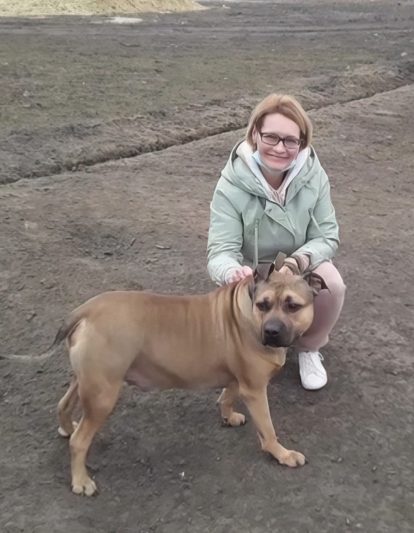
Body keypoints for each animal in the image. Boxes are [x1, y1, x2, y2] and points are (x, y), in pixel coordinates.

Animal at [2, 264, 325, 495]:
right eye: (263, 304)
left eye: (292, 306)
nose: (271, 331)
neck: (244, 312)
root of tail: (85, 310)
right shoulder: (256, 390)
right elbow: (268, 430)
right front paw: (282, 454)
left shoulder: (238, 380)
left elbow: (227, 395)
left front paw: (228, 416)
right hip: (103, 394)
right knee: (80, 441)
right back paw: (81, 481)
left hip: (86, 381)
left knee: (64, 405)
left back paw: (67, 427)